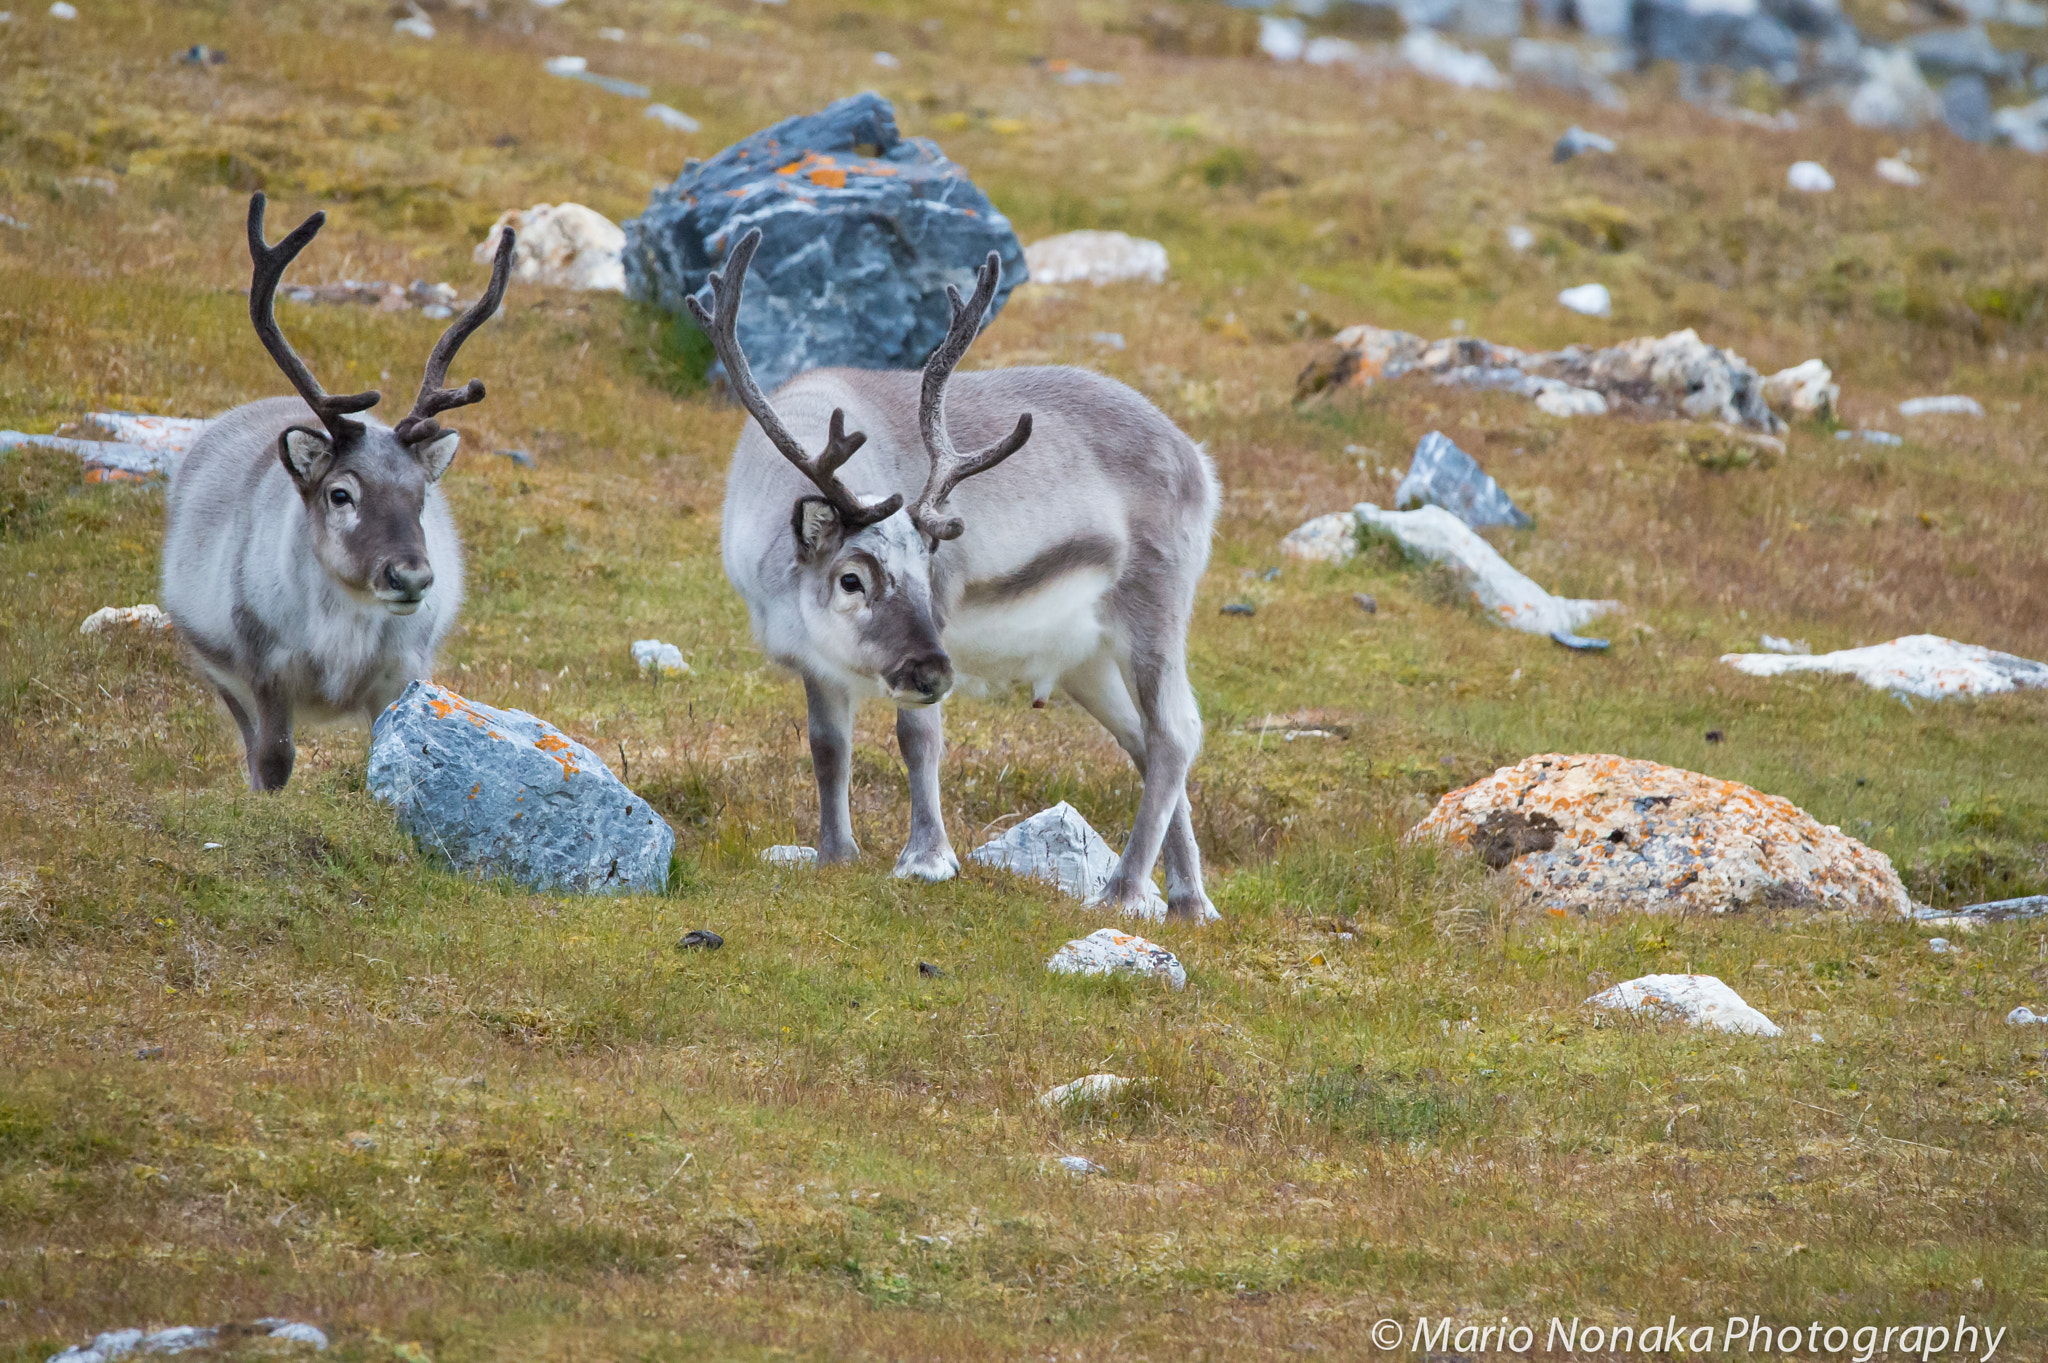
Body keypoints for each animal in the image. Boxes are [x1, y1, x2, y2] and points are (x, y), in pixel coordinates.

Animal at [160, 192, 513, 791]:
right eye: (340, 494)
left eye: (421, 496)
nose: (410, 576)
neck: (340, 647)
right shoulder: (265, 670)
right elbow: (272, 761)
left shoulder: (402, 674)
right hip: (218, 670)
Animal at [705, 228, 1223, 922]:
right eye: (851, 578)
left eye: (930, 570)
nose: (934, 670)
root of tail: (1198, 461)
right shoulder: (814, 661)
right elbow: (828, 749)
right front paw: (835, 854)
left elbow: (917, 736)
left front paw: (926, 858)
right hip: (1088, 659)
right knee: (1144, 741)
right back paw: (1189, 900)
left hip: (1154, 615)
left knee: (1173, 735)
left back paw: (1124, 891)